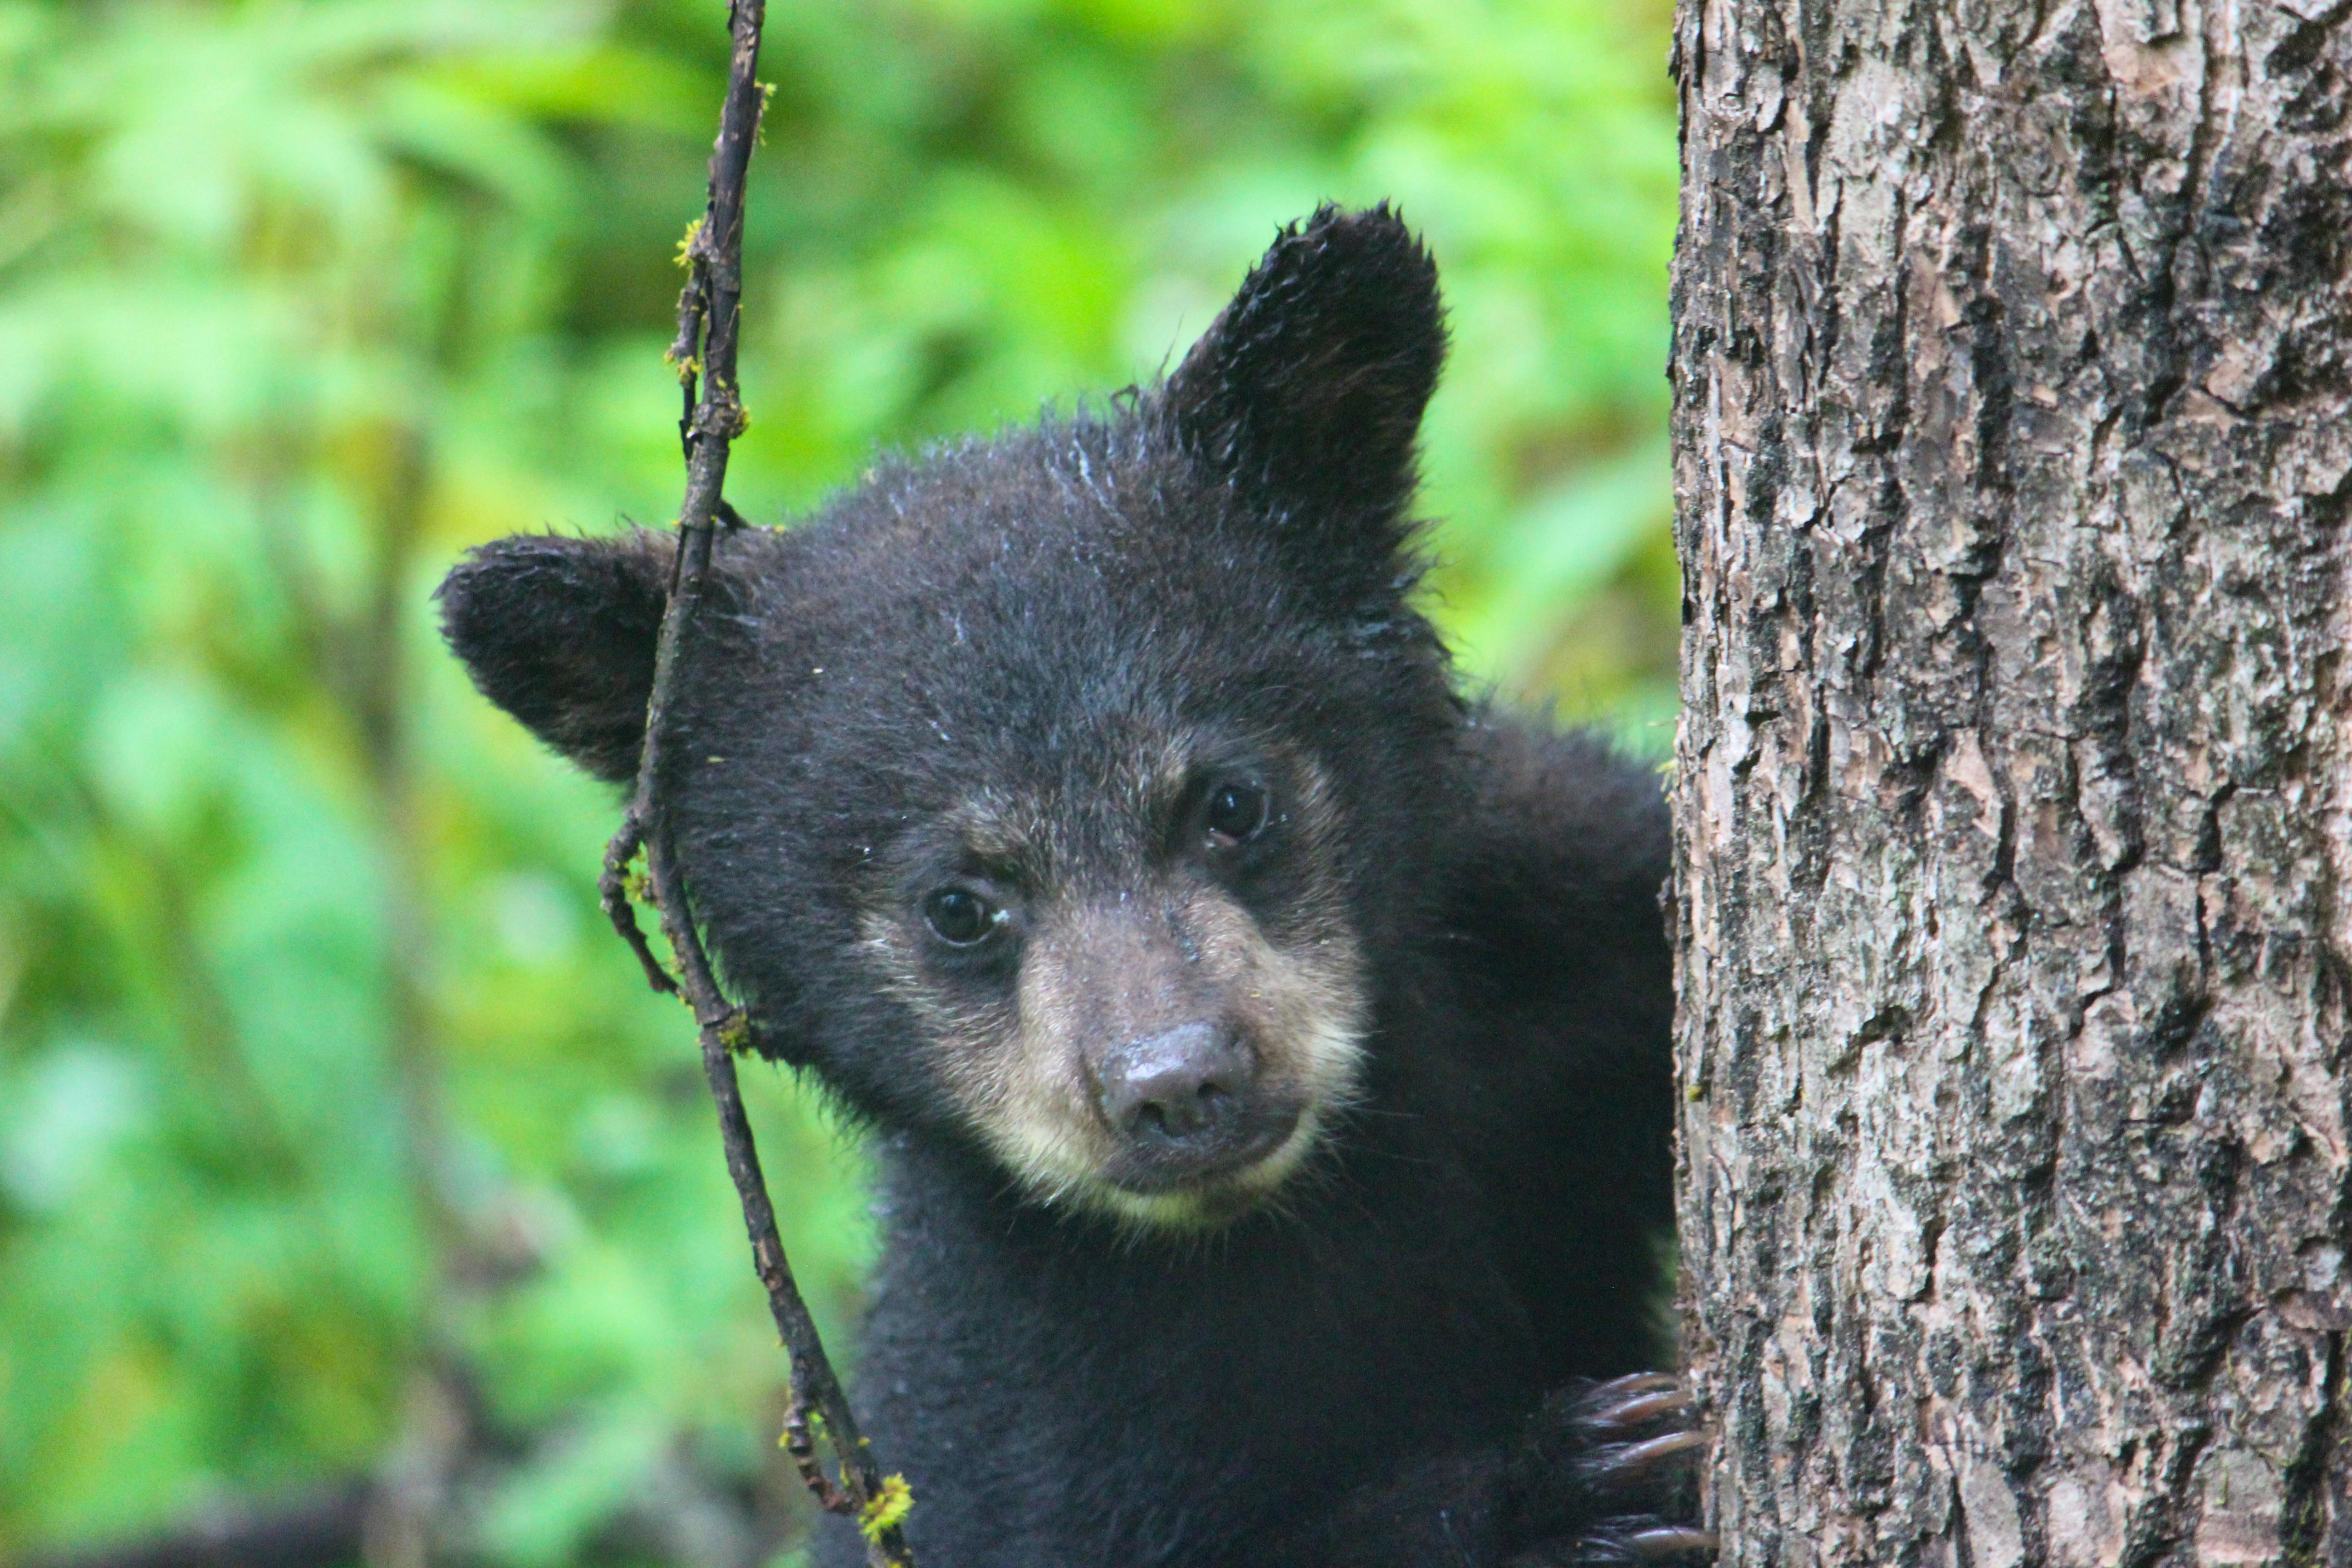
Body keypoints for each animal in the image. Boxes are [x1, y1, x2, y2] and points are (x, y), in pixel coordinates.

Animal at [438, 205, 1705, 1566]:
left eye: (1229, 803)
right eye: (958, 904)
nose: (1179, 1081)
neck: (1310, 1204)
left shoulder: (1558, 927)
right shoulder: (1032, 1386)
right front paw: (1562, 1489)